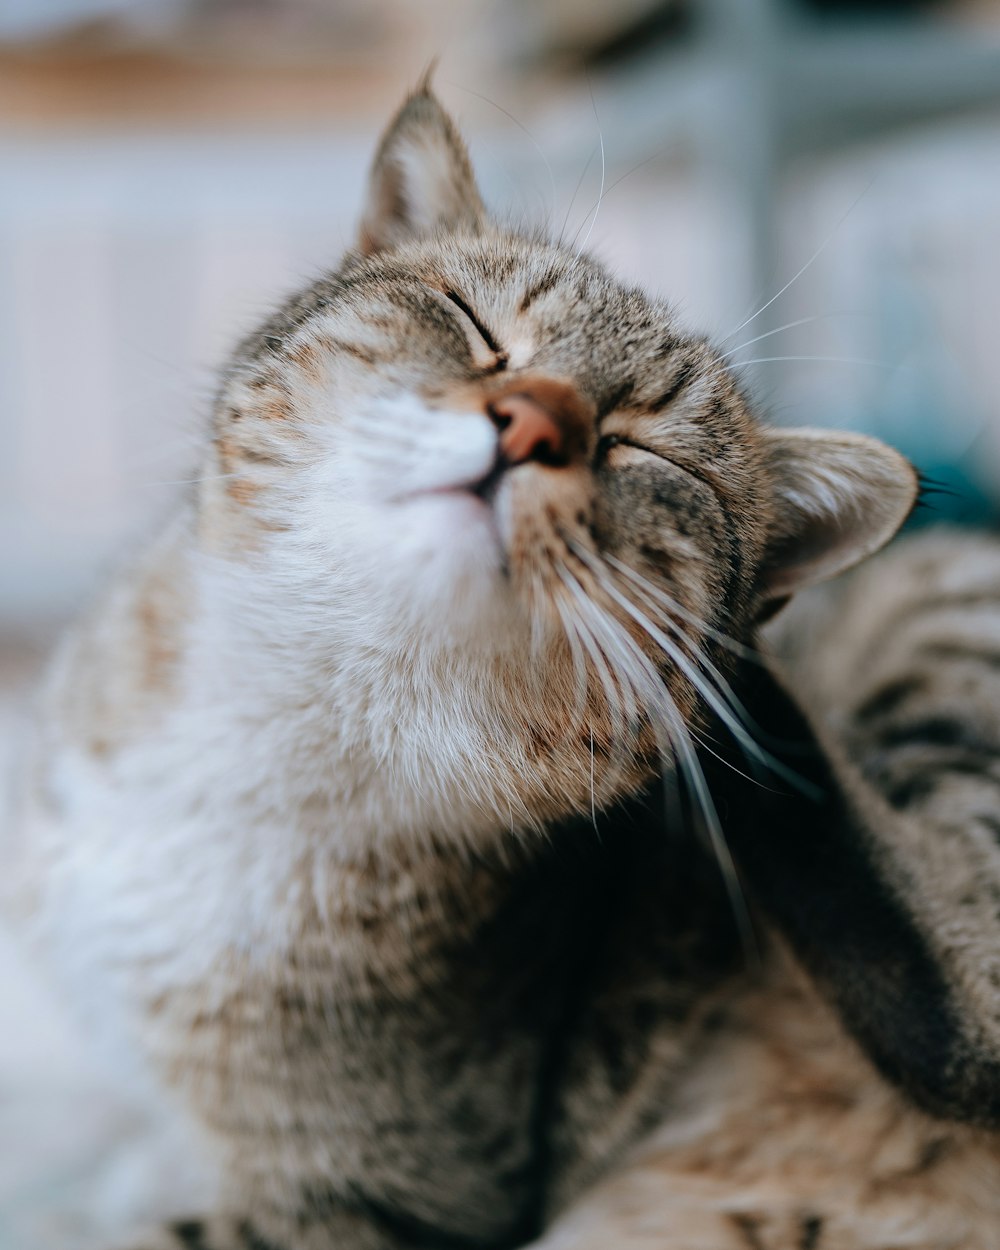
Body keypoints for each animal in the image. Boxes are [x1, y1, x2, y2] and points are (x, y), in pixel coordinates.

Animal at [7, 83, 1000, 1245]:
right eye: (477, 328)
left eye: (640, 446)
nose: (534, 423)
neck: (276, 722)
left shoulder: (398, 1195)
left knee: (966, 1012)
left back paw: (746, 702)